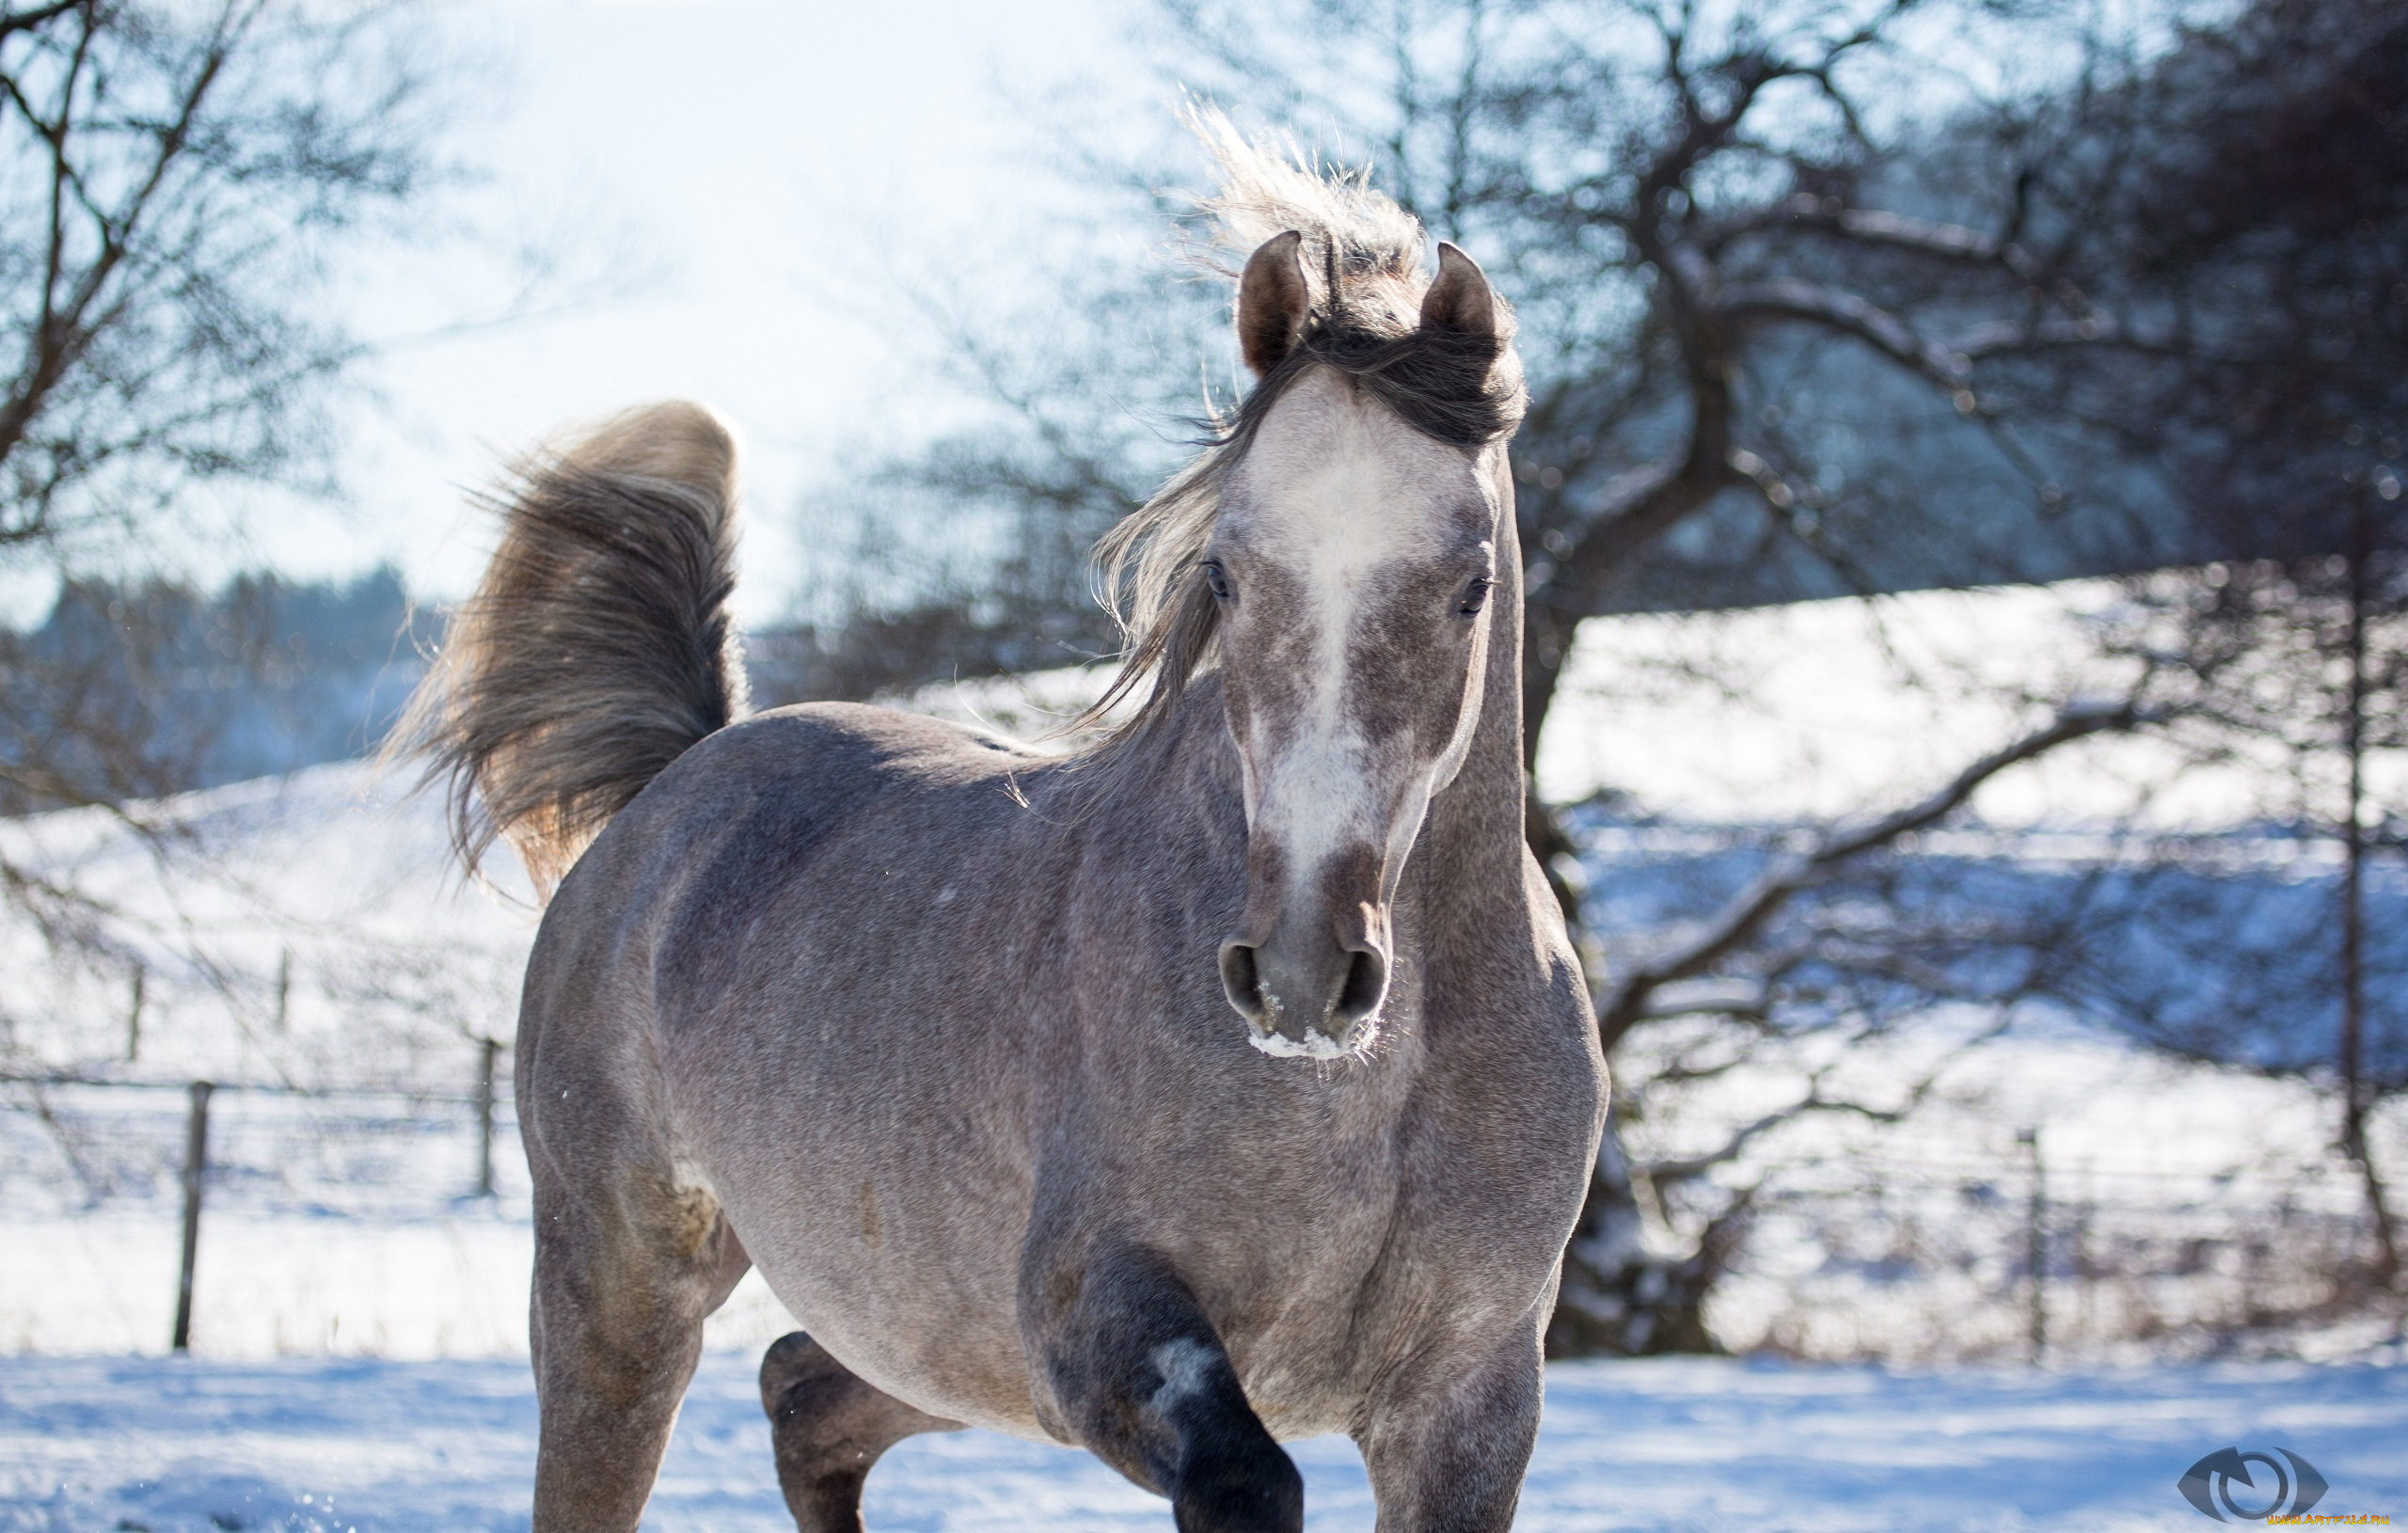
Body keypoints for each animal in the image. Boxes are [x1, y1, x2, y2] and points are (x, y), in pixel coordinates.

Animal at [399, 122, 1598, 1530]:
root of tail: (680, 778)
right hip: (624, 1294)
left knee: (802, 1393)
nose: (1302, 974)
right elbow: (1248, 1477)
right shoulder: (1096, 1319)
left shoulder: (1468, 1404)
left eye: (1469, 585)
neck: (1372, 1085)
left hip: (938, 1340)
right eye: (1227, 571)